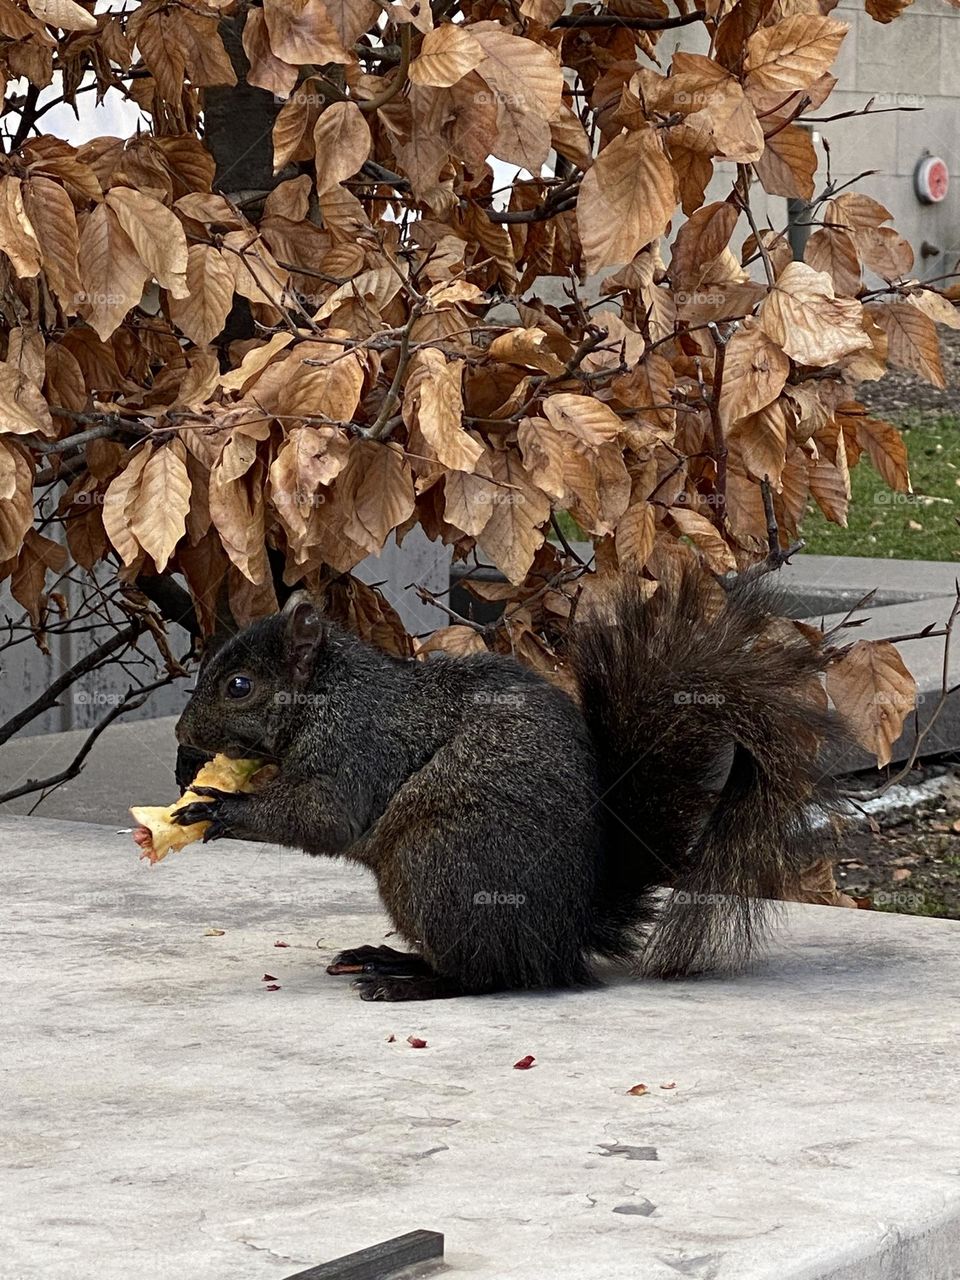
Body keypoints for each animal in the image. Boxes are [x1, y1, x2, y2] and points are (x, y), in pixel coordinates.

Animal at [172, 560, 841, 1002]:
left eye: (239, 686)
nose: (182, 732)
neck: (325, 696)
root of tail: (563, 941)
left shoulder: (355, 749)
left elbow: (319, 818)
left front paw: (220, 807)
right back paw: (388, 958)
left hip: (436, 866)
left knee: (488, 975)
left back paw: (414, 983)